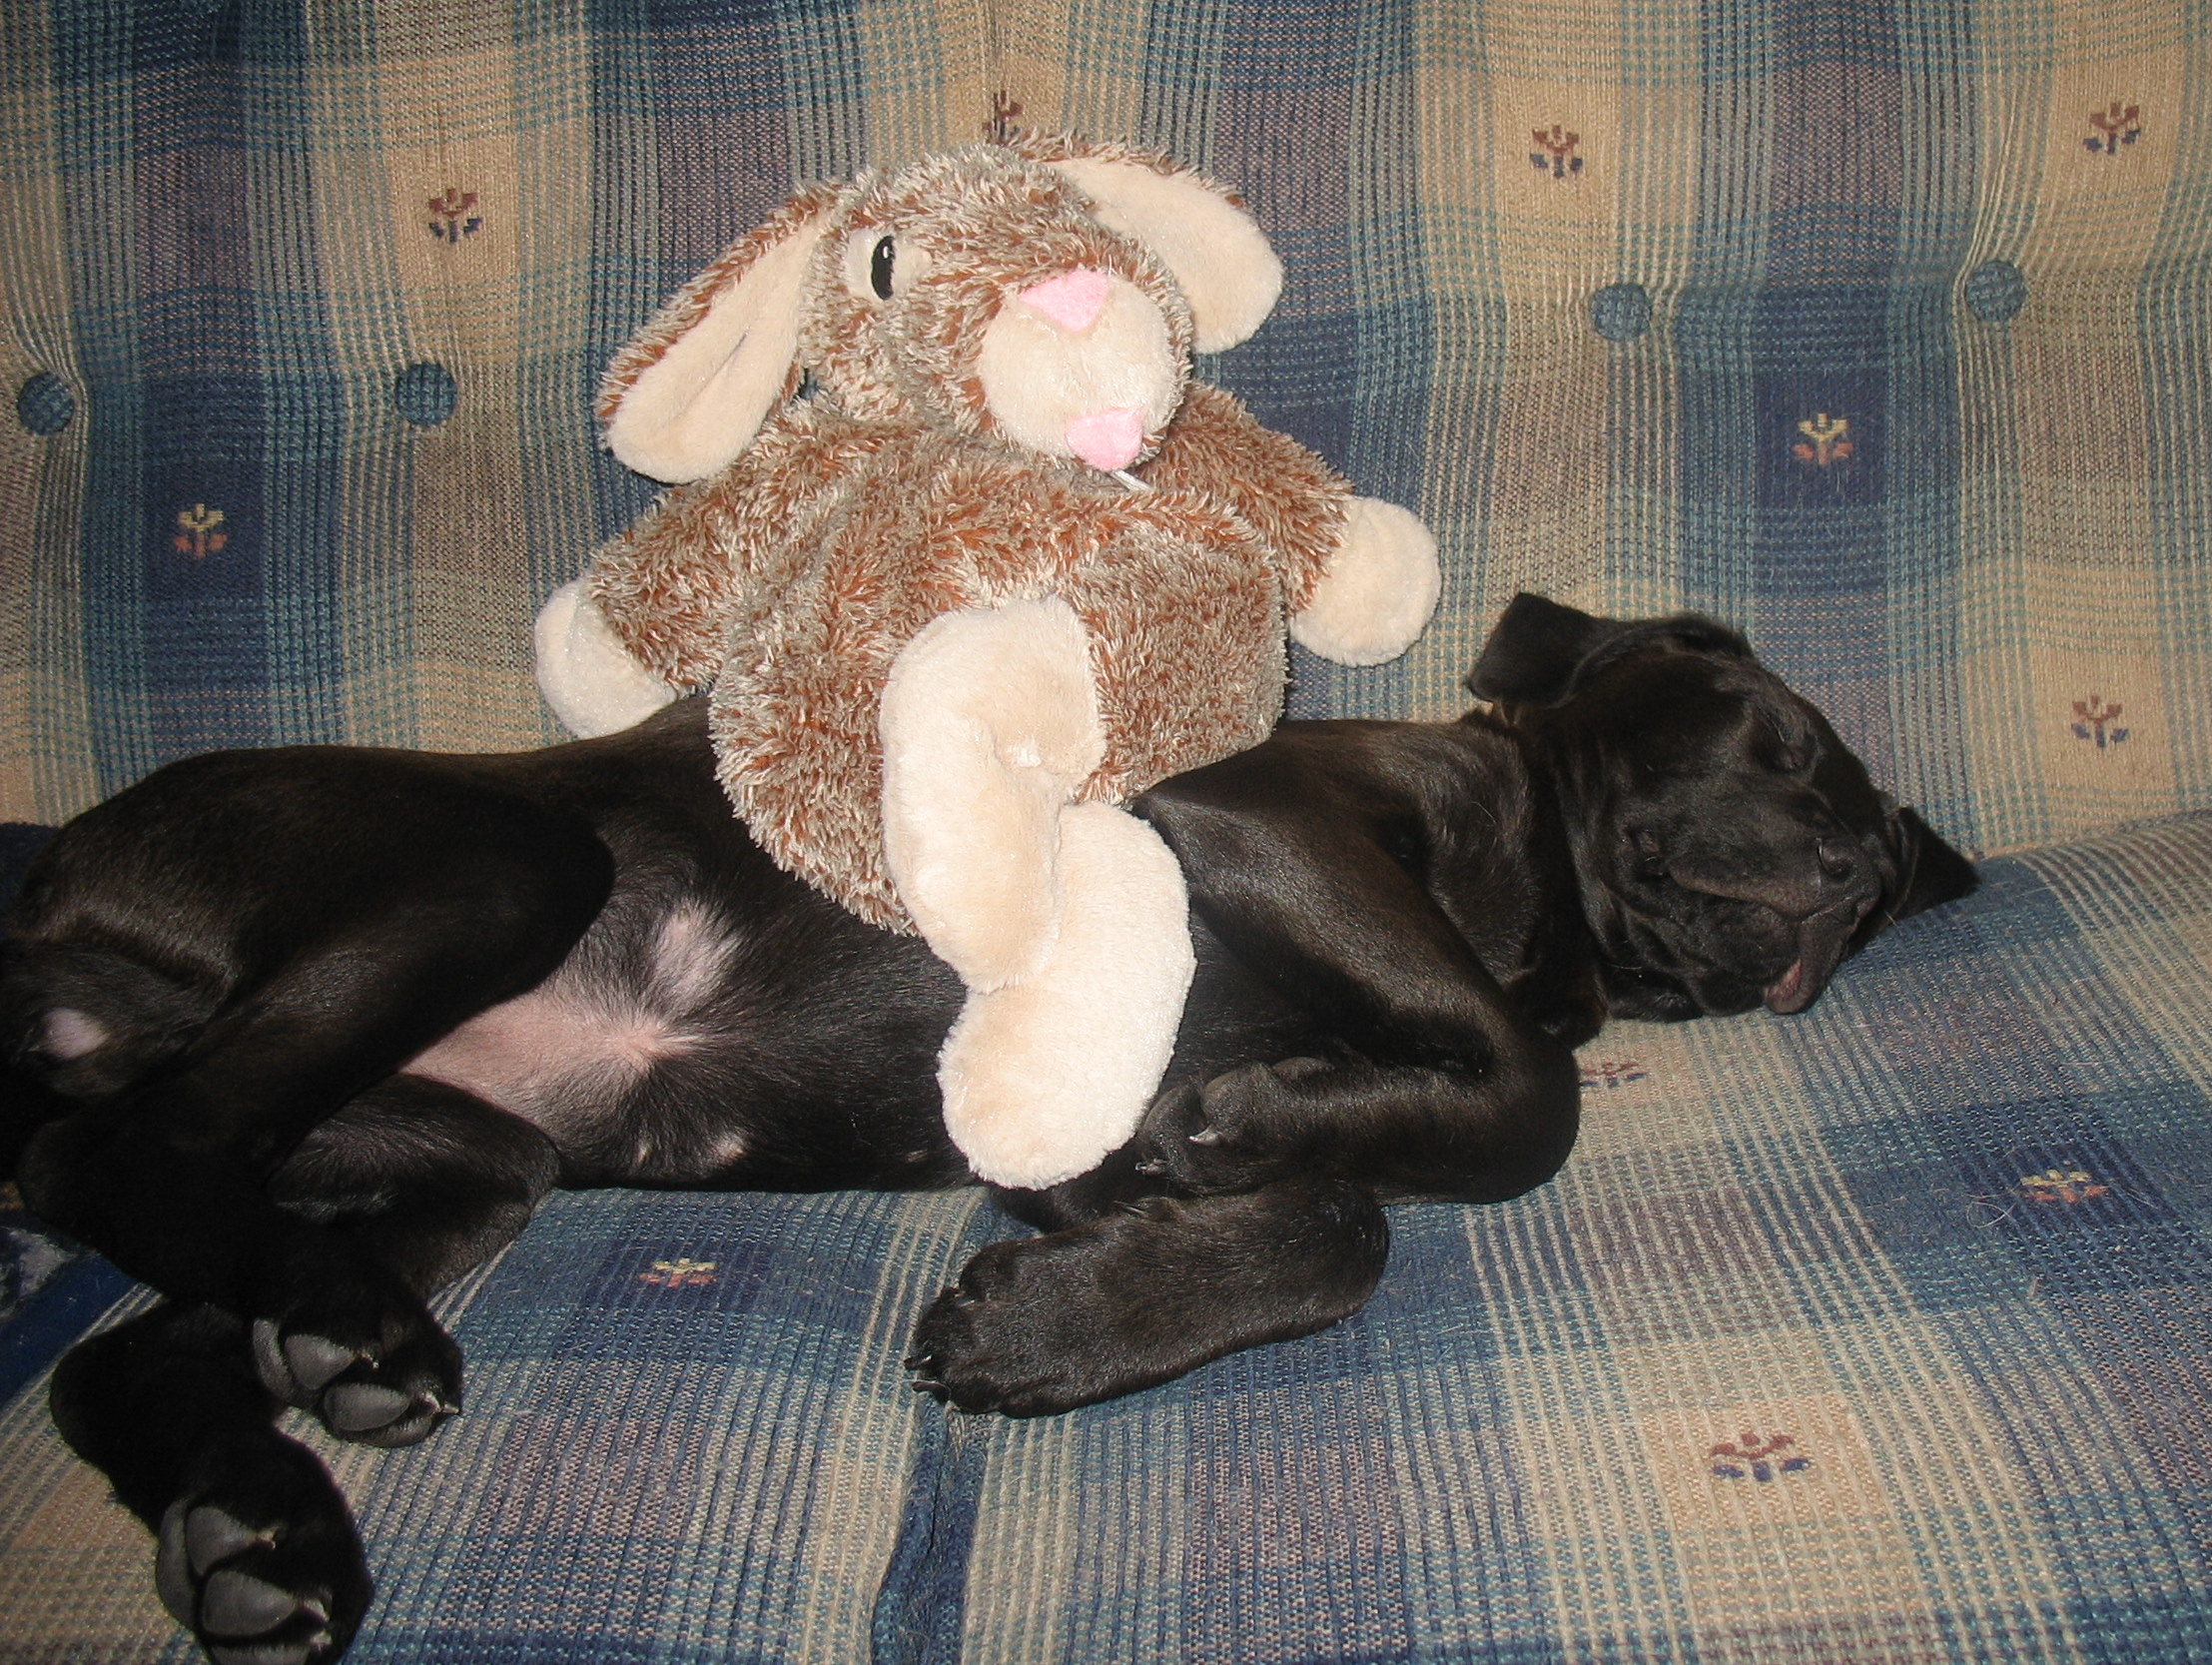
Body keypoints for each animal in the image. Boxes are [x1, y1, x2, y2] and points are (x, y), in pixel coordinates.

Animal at [1, 594, 1974, 1664]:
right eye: (1783, 739)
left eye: (1884, 897)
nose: (1850, 880)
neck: (1540, 909)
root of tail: (50, 897)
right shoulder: (1262, 820)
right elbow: (1513, 1105)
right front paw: (1285, 1131)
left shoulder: (1089, 1122)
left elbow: (1330, 1221)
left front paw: (1063, 1316)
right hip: (497, 868)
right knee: (114, 1160)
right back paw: (338, 1362)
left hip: (469, 1161)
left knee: (118, 1351)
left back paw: (265, 1523)